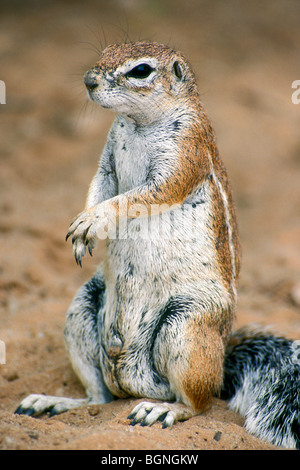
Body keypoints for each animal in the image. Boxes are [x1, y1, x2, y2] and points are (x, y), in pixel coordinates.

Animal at [15, 42, 298, 450]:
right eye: (105, 50)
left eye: (141, 70)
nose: (88, 80)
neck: (138, 123)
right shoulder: (107, 162)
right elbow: (100, 184)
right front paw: (84, 226)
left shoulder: (184, 156)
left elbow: (138, 196)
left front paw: (93, 221)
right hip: (81, 311)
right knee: (98, 398)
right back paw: (55, 402)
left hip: (187, 328)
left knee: (197, 402)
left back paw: (163, 410)